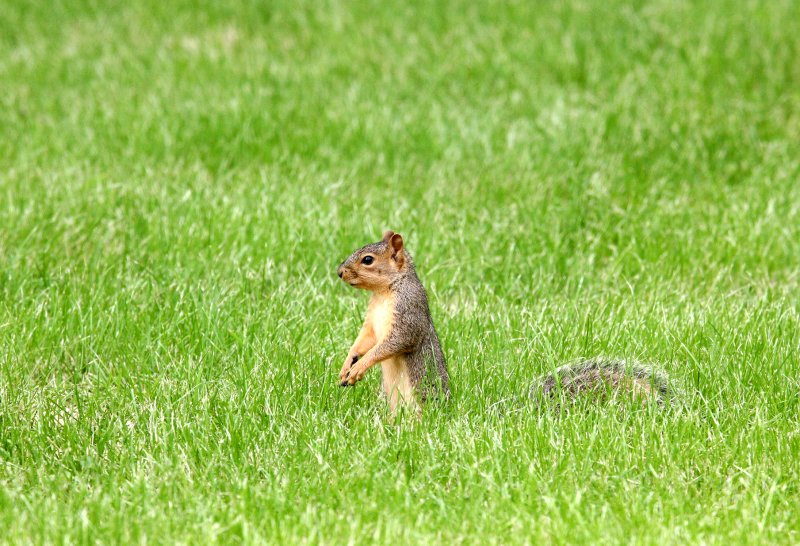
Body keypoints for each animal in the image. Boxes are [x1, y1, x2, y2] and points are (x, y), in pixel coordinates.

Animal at [334, 231, 672, 412]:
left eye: (367, 260)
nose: (339, 272)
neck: (384, 293)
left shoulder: (408, 313)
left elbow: (390, 344)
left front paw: (361, 367)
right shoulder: (371, 322)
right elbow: (364, 340)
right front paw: (347, 364)